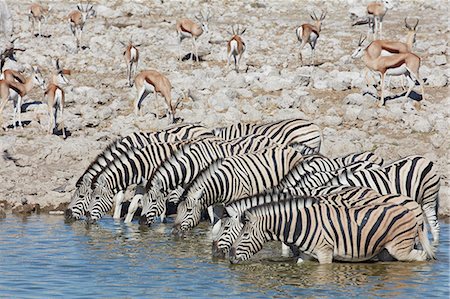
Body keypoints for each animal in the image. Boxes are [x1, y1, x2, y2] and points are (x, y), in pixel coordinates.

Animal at [64, 123, 216, 221]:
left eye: (81, 196)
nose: (66, 215)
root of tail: (205, 128)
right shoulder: (126, 177)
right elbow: (120, 200)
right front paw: (117, 220)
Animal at [171, 148, 302, 234]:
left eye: (188, 210)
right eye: (177, 210)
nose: (174, 232)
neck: (222, 182)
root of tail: (293, 150)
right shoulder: (218, 205)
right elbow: (215, 229)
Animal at [230, 197, 434, 264]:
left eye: (245, 235)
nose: (230, 258)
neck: (301, 223)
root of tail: (411, 210)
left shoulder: (325, 253)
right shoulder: (307, 255)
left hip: (400, 247)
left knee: (421, 256)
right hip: (385, 250)